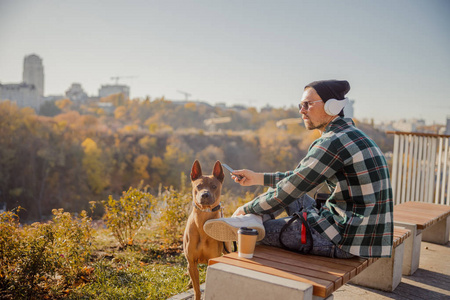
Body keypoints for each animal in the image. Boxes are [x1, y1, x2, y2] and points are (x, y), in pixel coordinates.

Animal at [184, 161, 232, 298]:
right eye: (198, 186)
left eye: (214, 186)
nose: (205, 194)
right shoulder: (191, 262)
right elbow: (197, 290)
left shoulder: (213, 260)